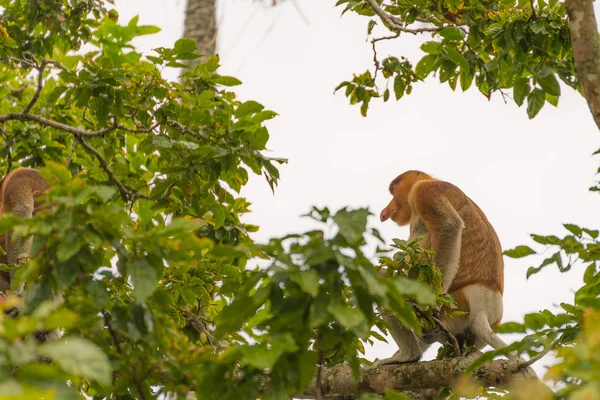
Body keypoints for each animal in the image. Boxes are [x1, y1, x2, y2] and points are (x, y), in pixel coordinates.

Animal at [378, 171, 536, 376]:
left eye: (393, 193)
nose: (385, 211)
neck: (430, 180)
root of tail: (483, 308)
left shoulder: (425, 192)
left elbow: (449, 225)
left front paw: (430, 306)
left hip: (454, 308)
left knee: (383, 278)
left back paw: (408, 355)